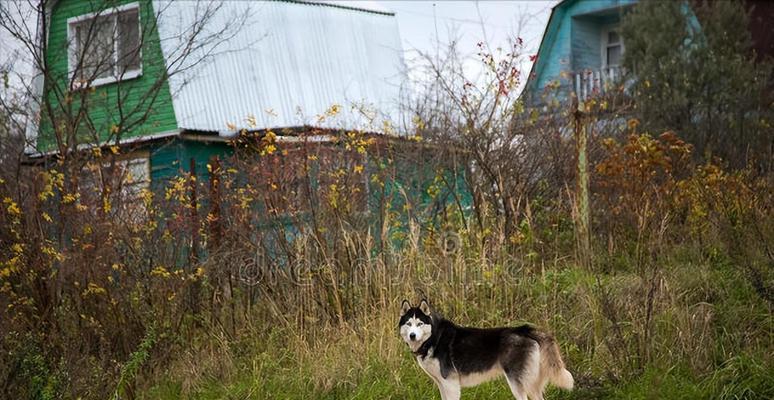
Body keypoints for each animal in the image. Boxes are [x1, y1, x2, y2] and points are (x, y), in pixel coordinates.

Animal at [400, 300, 576, 400]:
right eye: (409, 324)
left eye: (419, 324)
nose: (412, 335)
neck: (434, 338)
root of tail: (523, 329)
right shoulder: (442, 384)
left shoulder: (450, 383)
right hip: (532, 383)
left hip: (517, 382)